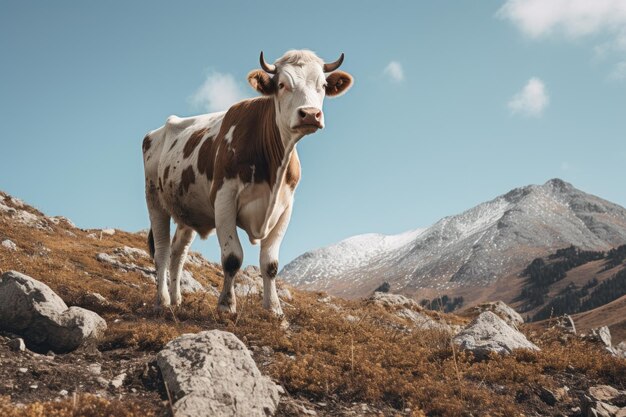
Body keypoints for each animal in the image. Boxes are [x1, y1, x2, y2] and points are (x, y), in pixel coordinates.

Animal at [141, 49, 352, 316]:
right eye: (282, 84)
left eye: (323, 85)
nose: (310, 114)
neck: (273, 170)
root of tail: (158, 131)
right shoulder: (224, 199)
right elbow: (232, 258)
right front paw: (226, 305)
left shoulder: (286, 207)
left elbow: (270, 264)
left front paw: (274, 309)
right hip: (154, 200)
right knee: (162, 252)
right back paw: (163, 301)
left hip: (186, 209)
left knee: (179, 252)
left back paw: (177, 300)